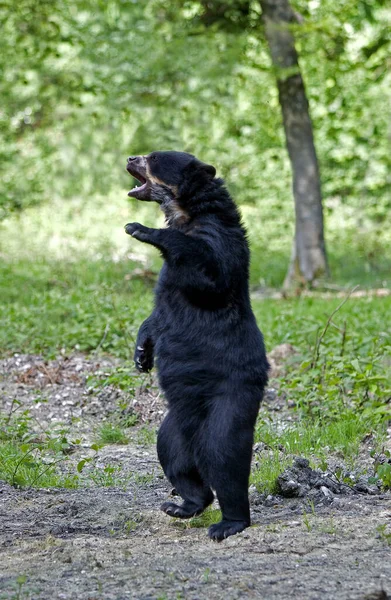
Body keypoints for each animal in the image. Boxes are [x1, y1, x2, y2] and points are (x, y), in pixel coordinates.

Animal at [125, 151, 270, 544]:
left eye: (152, 158)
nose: (130, 157)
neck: (185, 213)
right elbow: (158, 314)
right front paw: (141, 353)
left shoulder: (218, 238)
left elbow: (210, 273)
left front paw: (141, 229)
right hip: (174, 426)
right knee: (174, 457)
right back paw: (182, 504)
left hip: (230, 399)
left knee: (225, 458)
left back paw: (229, 522)